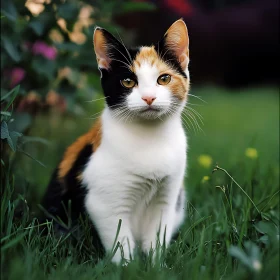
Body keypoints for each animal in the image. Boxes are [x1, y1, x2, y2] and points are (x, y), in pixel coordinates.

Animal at [42, 18, 190, 264]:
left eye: (164, 78)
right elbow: (121, 243)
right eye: (128, 81)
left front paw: (156, 266)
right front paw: (127, 267)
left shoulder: (167, 199)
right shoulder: (104, 206)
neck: (150, 138)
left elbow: (157, 238)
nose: (149, 97)